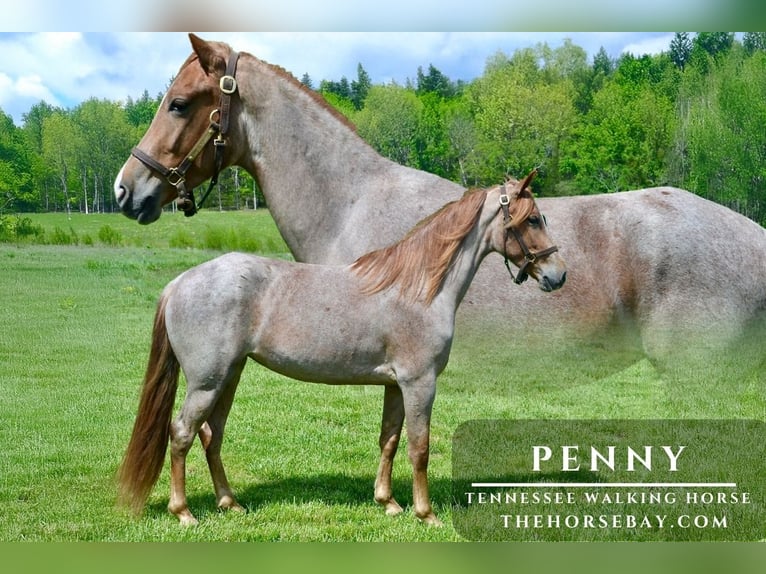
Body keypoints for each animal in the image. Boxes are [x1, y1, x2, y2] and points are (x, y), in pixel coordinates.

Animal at [117, 173, 566, 525]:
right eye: (531, 219)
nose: (558, 275)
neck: (418, 287)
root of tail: (179, 283)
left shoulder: (395, 385)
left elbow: (389, 440)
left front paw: (388, 503)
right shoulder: (420, 383)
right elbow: (419, 447)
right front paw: (426, 514)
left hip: (229, 376)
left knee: (212, 435)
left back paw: (230, 503)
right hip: (206, 383)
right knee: (182, 434)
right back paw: (184, 512)